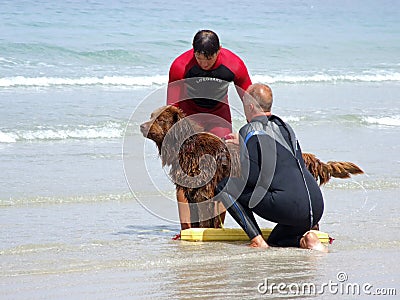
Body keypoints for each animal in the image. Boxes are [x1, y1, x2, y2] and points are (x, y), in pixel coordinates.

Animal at [140, 105, 362, 227]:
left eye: (160, 119)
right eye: (150, 116)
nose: (141, 125)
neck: (187, 145)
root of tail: (304, 156)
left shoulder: (204, 192)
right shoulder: (192, 192)